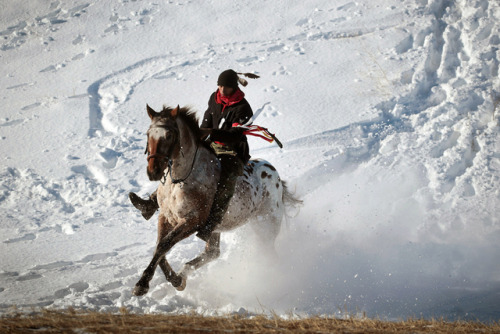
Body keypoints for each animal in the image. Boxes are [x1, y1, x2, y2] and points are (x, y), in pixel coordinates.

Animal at [131, 103, 300, 294]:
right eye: (148, 134)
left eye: (169, 135)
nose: (153, 171)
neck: (180, 181)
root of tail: (276, 177)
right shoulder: (166, 217)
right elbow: (160, 246)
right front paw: (175, 280)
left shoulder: (192, 221)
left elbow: (164, 245)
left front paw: (142, 284)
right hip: (217, 228)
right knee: (212, 252)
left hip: (266, 225)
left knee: (267, 254)